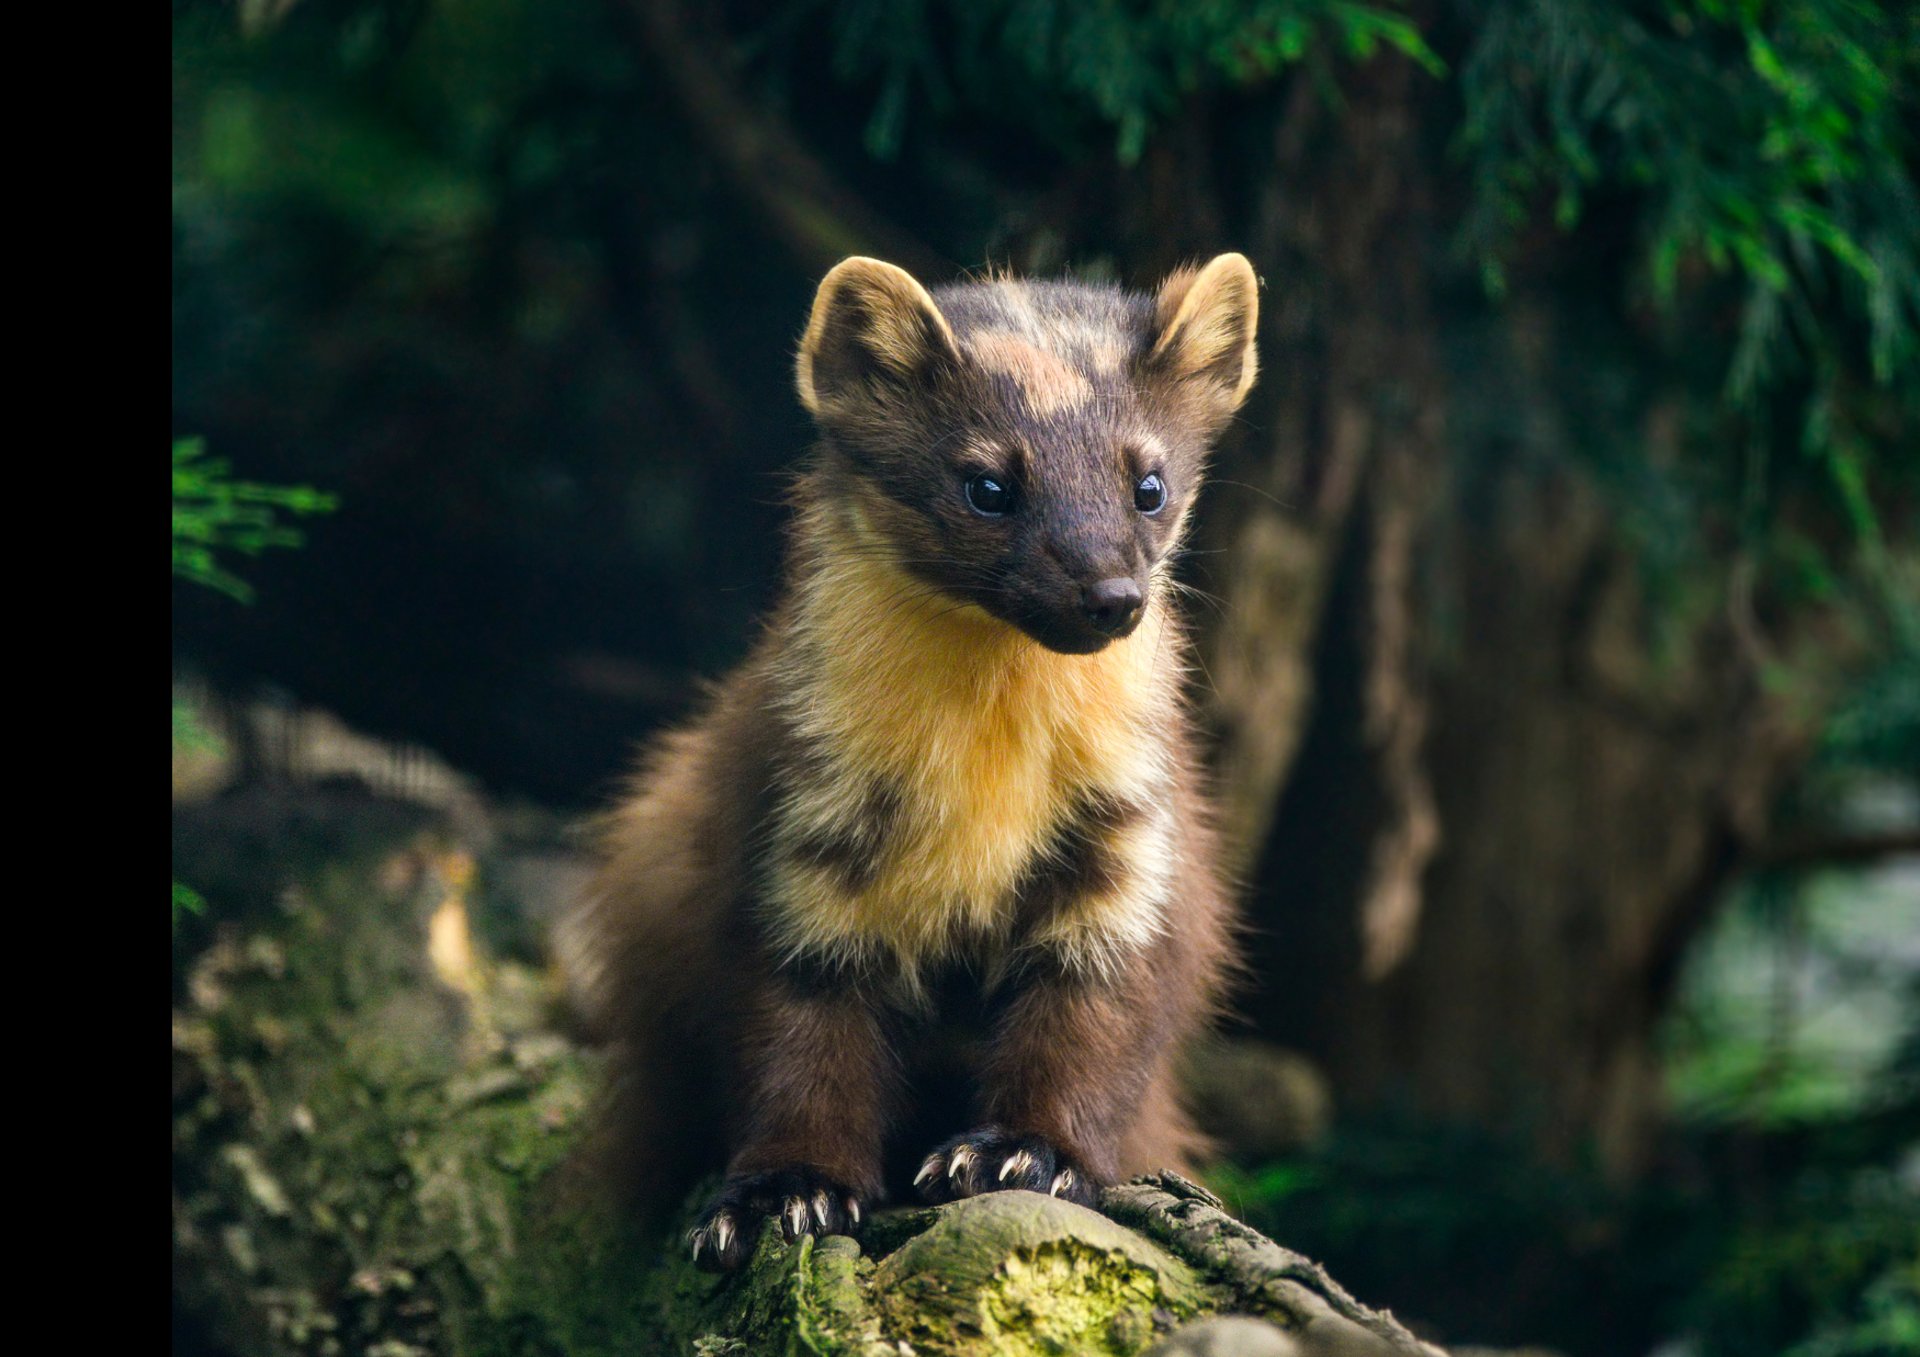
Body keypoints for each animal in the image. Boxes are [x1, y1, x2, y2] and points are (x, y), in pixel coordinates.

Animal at [559, 252, 1258, 1270]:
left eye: (1150, 484)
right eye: (987, 484)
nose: (1108, 592)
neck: (984, 788)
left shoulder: (1135, 846)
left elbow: (1095, 1025)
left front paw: (1021, 1155)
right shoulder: (790, 830)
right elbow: (793, 1036)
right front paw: (783, 1193)